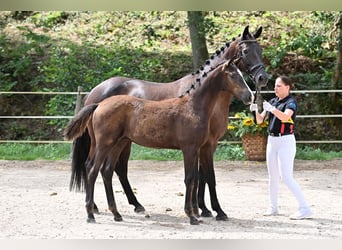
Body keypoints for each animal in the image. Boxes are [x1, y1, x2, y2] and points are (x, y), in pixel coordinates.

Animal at [69, 25, 268, 221]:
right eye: (246, 51)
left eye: (260, 49)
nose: (261, 81)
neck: (194, 104)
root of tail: (96, 100)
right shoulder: (197, 146)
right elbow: (198, 177)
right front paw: (205, 211)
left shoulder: (203, 145)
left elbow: (201, 177)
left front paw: (202, 210)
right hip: (107, 144)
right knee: (97, 169)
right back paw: (94, 211)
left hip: (117, 143)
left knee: (105, 169)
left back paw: (118, 210)